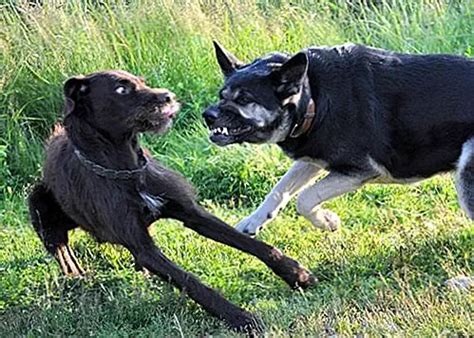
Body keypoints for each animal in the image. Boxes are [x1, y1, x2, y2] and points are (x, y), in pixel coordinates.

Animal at [25, 70, 314, 332]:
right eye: (121, 89)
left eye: (141, 81)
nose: (168, 96)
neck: (127, 170)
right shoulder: (142, 245)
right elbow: (192, 282)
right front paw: (240, 318)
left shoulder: (191, 213)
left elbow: (254, 245)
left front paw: (295, 274)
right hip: (38, 204)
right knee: (60, 248)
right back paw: (75, 274)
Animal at [204, 42, 474, 236]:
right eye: (221, 95)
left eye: (244, 99)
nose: (207, 116)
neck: (313, 98)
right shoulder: (312, 159)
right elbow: (279, 190)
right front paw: (253, 221)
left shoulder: (357, 172)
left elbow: (304, 199)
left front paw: (327, 221)